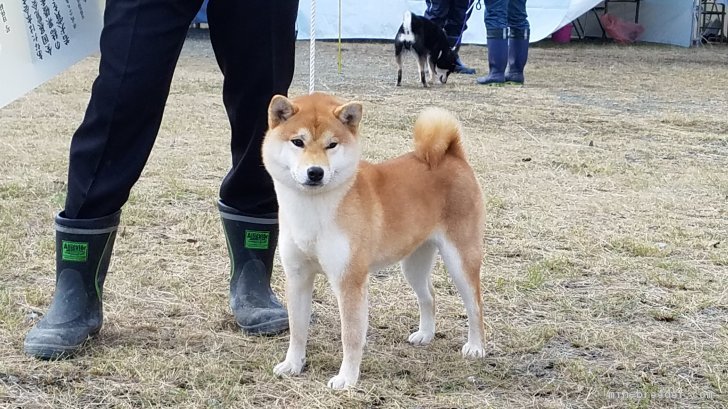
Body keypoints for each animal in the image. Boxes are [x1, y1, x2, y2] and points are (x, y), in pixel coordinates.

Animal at [264, 92, 486, 388]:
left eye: (332, 145)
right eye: (298, 142)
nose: (315, 172)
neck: (312, 210)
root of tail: (451, 154)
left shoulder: (350, 280)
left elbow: (351, 335)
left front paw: (347, 378)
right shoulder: (298, 276)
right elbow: (297, 329)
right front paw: (293, 364)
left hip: (460, 259)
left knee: (475, 305)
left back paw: (476, 347)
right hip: (413, 264)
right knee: (429, 296)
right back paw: (425, 334)